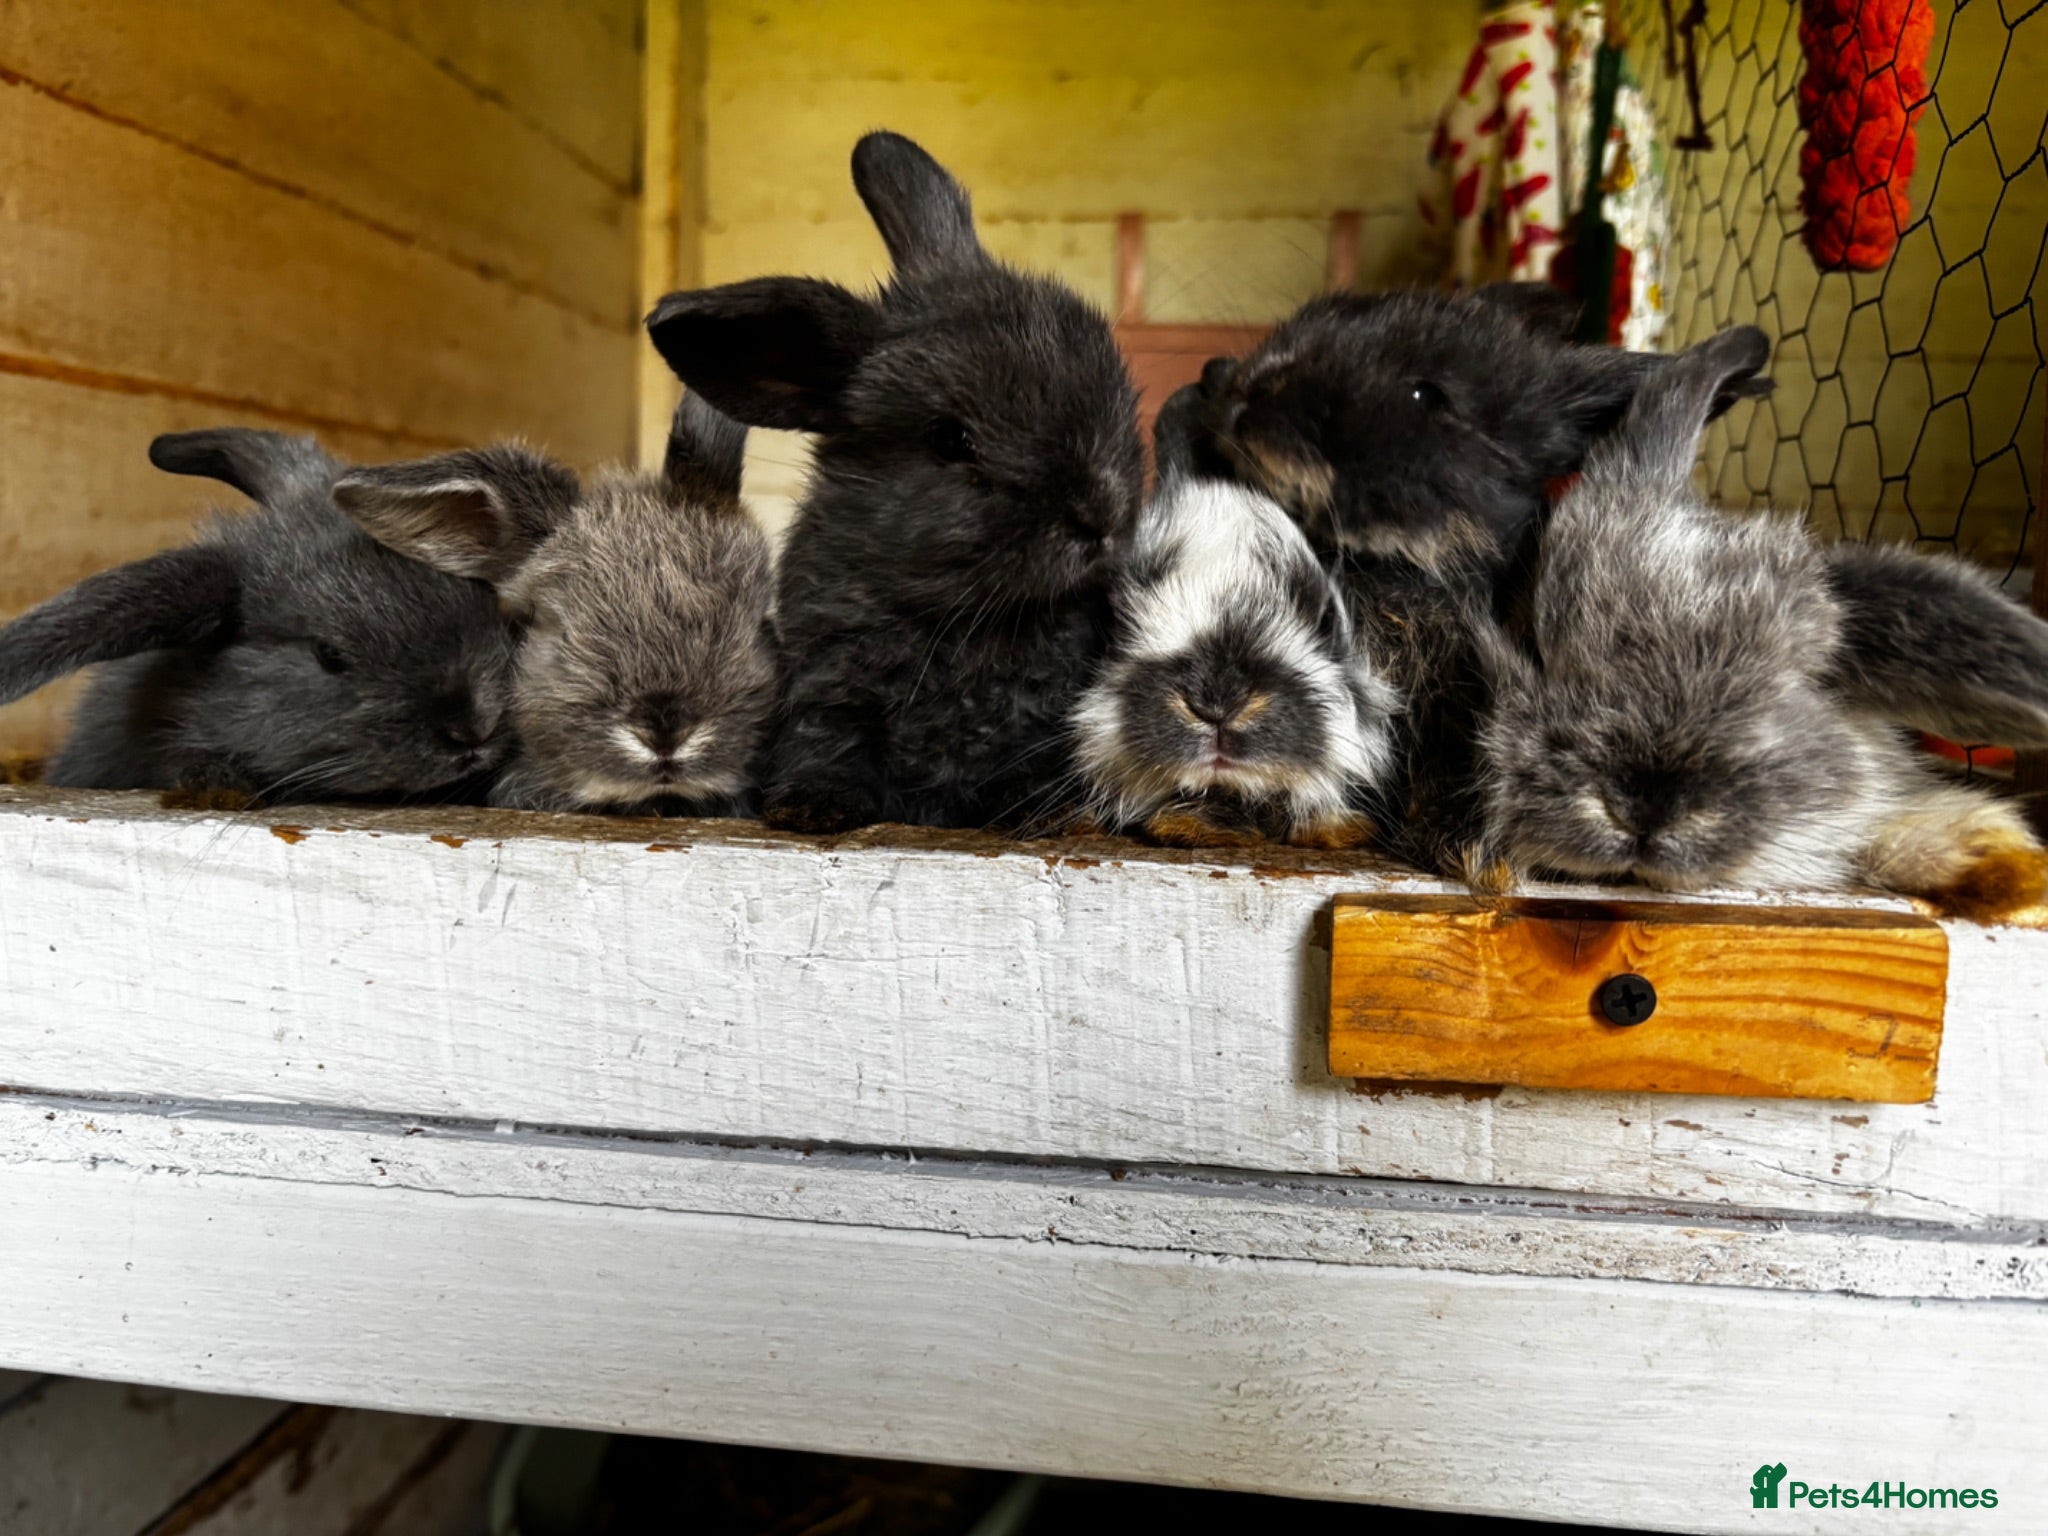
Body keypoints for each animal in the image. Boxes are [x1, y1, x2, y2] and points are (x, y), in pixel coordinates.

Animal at [644, 130, 1143, 834]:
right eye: (952, 440)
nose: (1103, 512)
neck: (959, 620)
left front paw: (1055, 815)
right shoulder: (828, 687)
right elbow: (831, 743)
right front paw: (812, 807)